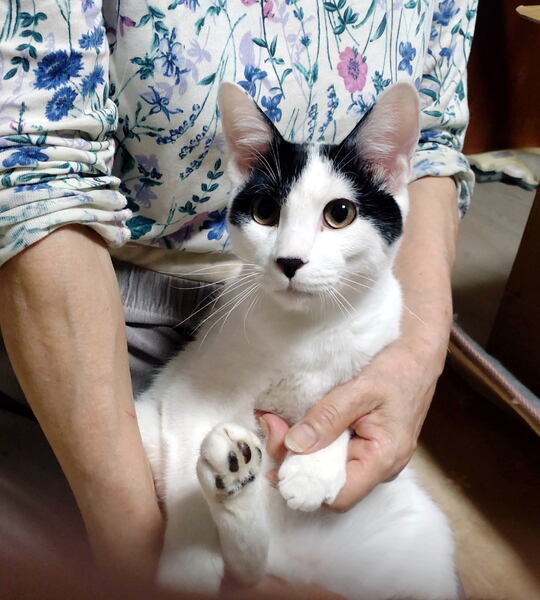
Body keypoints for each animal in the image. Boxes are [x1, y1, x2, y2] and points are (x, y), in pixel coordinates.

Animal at [135, 81, 460, 600]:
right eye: (265, 212)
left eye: (340, 213)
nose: (289, 261)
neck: (304, 329)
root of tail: (290, 568)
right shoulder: (191, 392)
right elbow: (186, 469)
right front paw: (186, 568)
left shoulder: (371, 352)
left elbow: (339, 402)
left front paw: (315, 464)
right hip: (147, 425)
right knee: (245, 561)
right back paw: (232, 475)